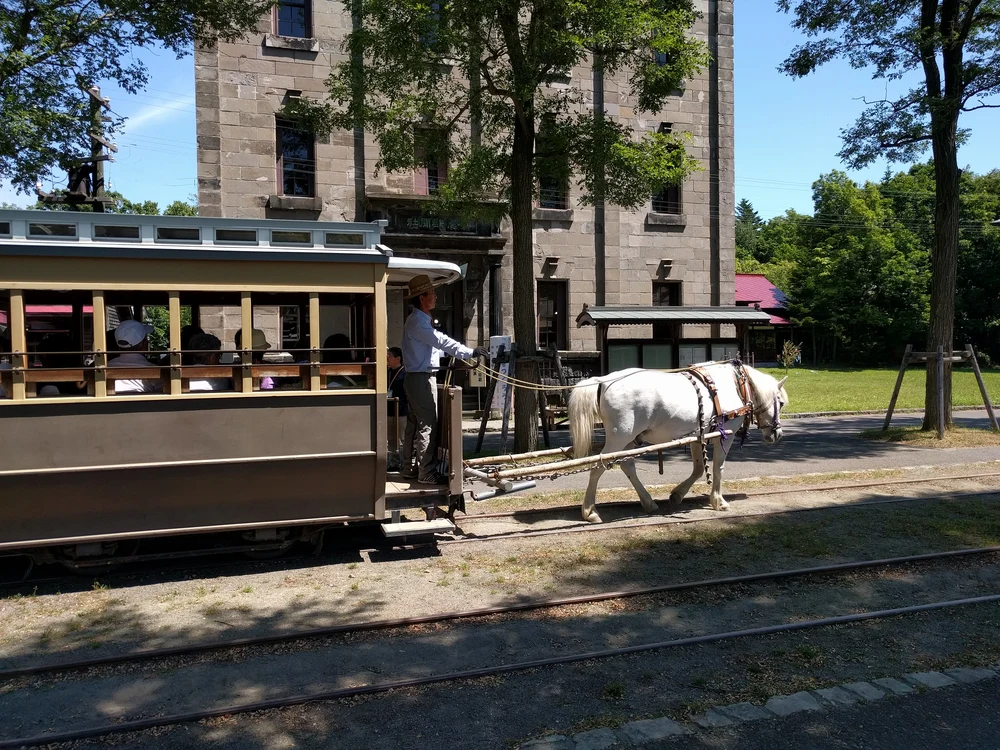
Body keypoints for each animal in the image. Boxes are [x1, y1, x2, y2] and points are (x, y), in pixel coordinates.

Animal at [568, 362, 784, 524]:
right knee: (598, 467)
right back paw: (590, 511)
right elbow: (718, 467)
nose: (777, 434)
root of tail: (603, 381)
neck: (736, 384)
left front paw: (677, 495)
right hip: (619, 437)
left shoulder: (698, 435)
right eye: (781, 403)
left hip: (627, 440)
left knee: (627, 466)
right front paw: (718, 501)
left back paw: (648, 502)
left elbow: (698, 468)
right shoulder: (725, 434)